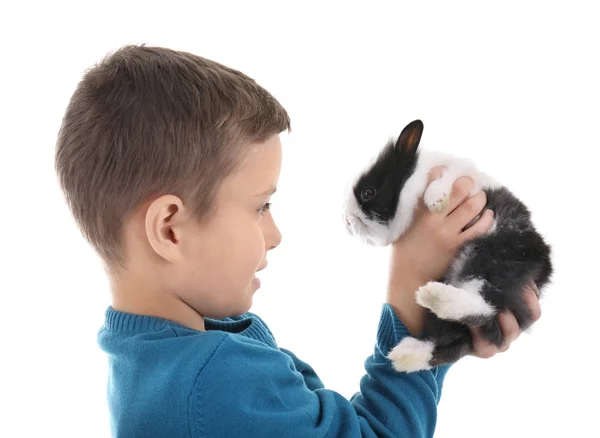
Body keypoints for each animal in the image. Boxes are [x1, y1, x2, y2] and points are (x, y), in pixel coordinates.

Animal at [342, 120, 552, 372]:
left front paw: (436, 202)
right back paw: (405, 355)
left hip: (490, 257)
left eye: (368, 192)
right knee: (456, 342)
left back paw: (433, 296)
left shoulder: (459, 171)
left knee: (485, 306)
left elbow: (440, 183)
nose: (347, 221)